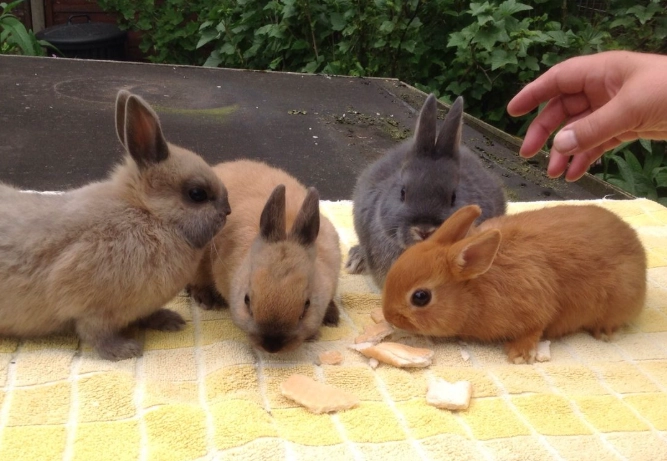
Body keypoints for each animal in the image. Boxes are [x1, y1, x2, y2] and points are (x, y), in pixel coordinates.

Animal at [0, 90, 231, 361]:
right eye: (197, 194)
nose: (228, 211)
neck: (150, 216)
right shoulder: (90, 307)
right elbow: (95, 333)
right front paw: (125, 350)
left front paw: (170, 320)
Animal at [382, 204, 647, 364]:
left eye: (421, 297)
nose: (388, 317)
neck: (475, 289)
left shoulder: (537, 303)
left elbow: (536, 327)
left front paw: (518, 355)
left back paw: (605, 333)